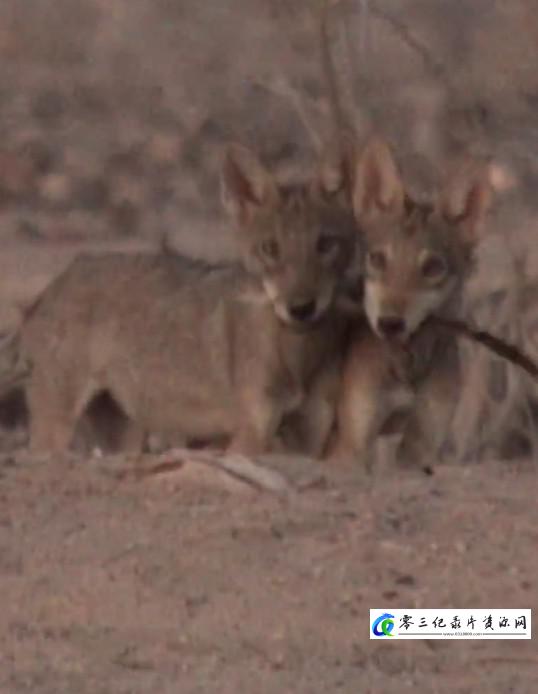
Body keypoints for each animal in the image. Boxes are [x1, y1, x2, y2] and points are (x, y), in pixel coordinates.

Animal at [9, 144, 365, 457]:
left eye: (325, 244)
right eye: (270, 249)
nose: (301, 308)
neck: (298, 354)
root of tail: (54, 283)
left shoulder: (309, 439)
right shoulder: (250, 436)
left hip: (122, 436)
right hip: (56, 429)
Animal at [329, 136, 494, 470]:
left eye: (432, 267)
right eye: (377, 259)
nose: (389, 323)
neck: (408, 363)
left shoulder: (422, 443)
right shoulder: (352, 444)